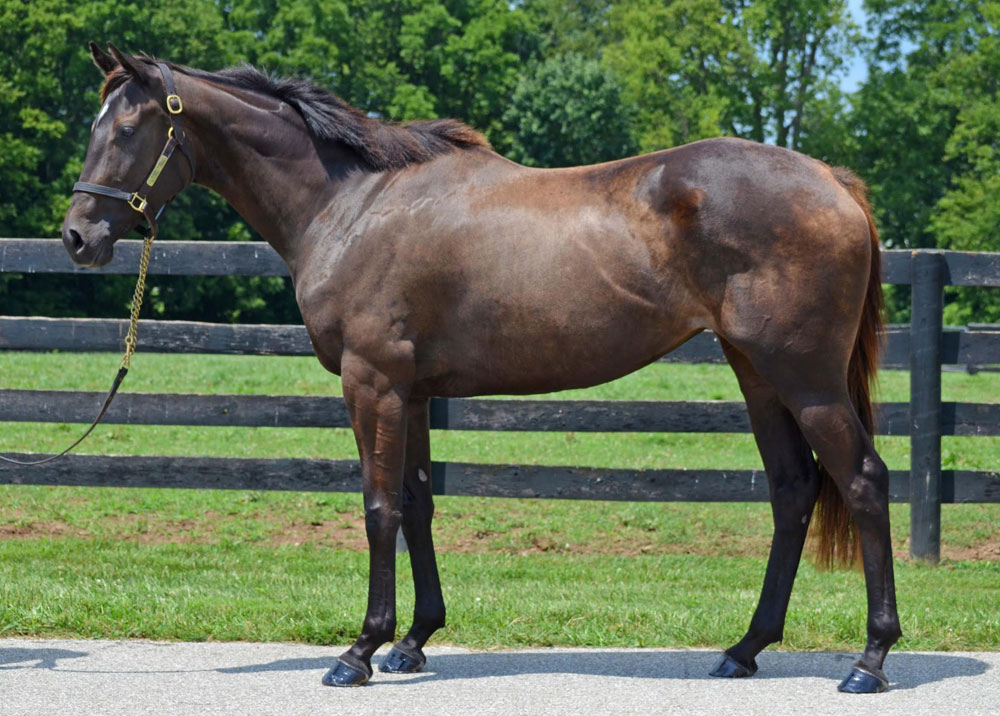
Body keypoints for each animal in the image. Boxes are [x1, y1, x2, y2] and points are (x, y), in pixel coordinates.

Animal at [62, 43, 899, 694]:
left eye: (130, 128)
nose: (77, 237)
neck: (352, 203)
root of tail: (833, 182)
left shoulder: (372, 383)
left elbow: (378, 508)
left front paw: (358, 651)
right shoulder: (413, 393)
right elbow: (418, 504)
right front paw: (412, 642)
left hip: (805, 377)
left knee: (862, 482)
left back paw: (869, 659)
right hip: (757, 372)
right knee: (792, 491)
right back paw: (744, 649)